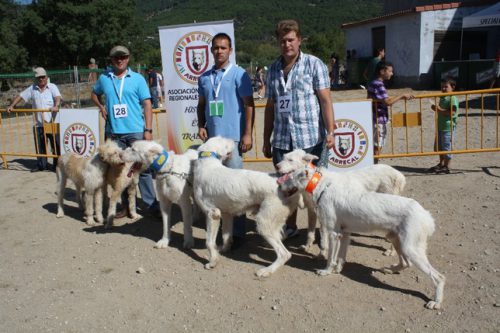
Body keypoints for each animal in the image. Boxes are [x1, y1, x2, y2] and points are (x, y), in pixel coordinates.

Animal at [193, 136, 298, 276]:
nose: (233, 140)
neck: (208, 163)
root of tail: (285, 185)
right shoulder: (226, 214)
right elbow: (226, 236)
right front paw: (223, 249)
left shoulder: (212, 214)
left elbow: (209, 242)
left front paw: (213, 262)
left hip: (263, 223)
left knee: (284, 254)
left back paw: (266, 271)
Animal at [278, 148, 406, 252]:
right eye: (283, 157)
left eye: (290, 160)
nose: (277, 166)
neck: (314, 181)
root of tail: (400, 175)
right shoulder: (312, 211)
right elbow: (310, 233)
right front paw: (307, 247)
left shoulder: (324, 213)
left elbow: (323, 236)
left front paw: (323, 251)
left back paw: (391, 251)